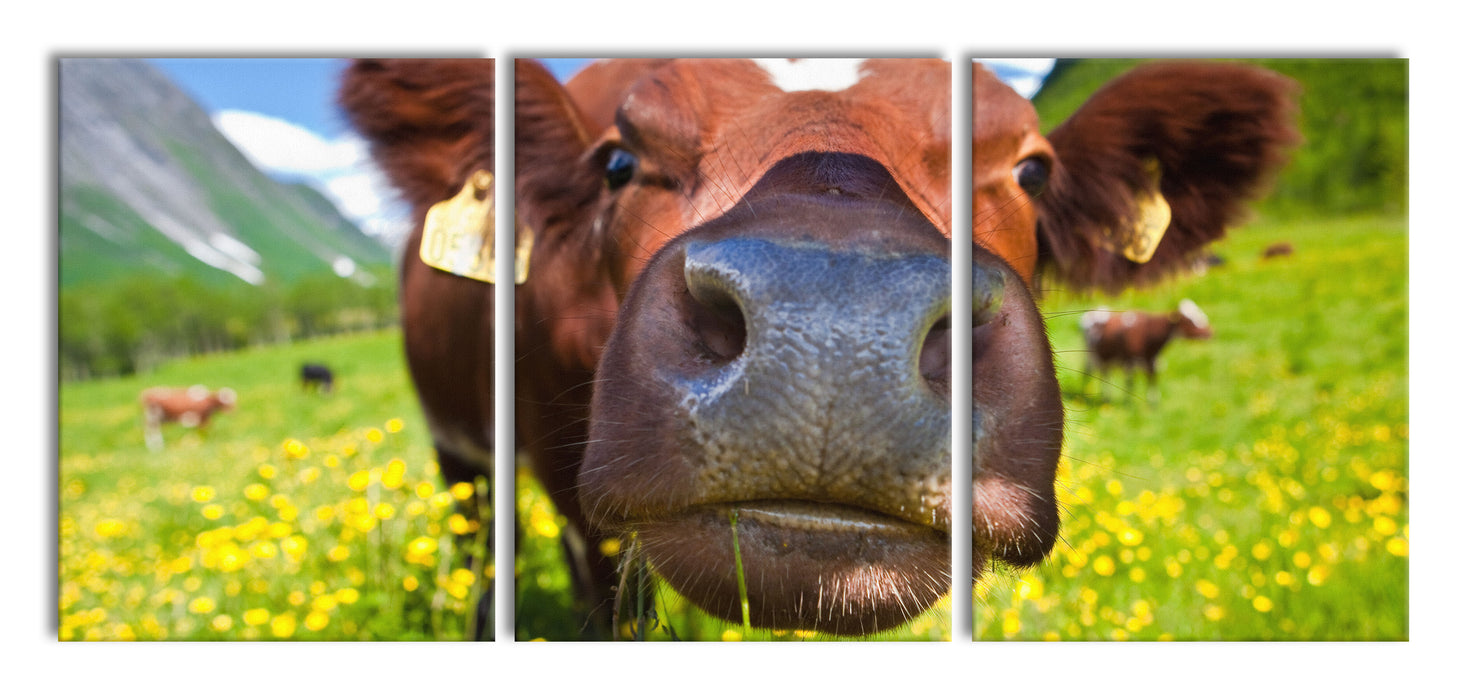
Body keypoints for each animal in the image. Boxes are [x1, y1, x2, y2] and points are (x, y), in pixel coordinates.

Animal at [1080, 299, 1215, 405]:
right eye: (1190, 320)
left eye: (1200, 314)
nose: (1210, 332)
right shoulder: (1130, 362)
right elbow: (1131, 384)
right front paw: (1128, 404)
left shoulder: (1154, 363)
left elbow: (1152, 382)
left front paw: (1153, 405)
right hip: (1090, 356)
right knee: (1090, 374)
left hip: (1105, 359)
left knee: (1105, 374)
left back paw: (1106, 398)